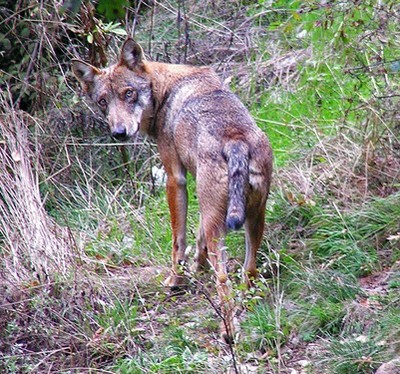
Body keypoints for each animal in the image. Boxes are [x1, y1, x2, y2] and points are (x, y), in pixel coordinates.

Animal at [71, 38, 272, 342]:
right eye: (103, 101)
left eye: (129, 93)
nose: (119, 133)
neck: (165, 91)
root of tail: (236, 140)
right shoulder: (202, 201)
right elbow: (197, 238)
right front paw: (198, 267)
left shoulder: (174, 178)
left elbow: (179, 240)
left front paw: (176, 280)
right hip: (251, 218)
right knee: (250, 269)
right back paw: (245, 305)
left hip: (222, 226)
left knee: (223, 280)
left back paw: (228, 331)